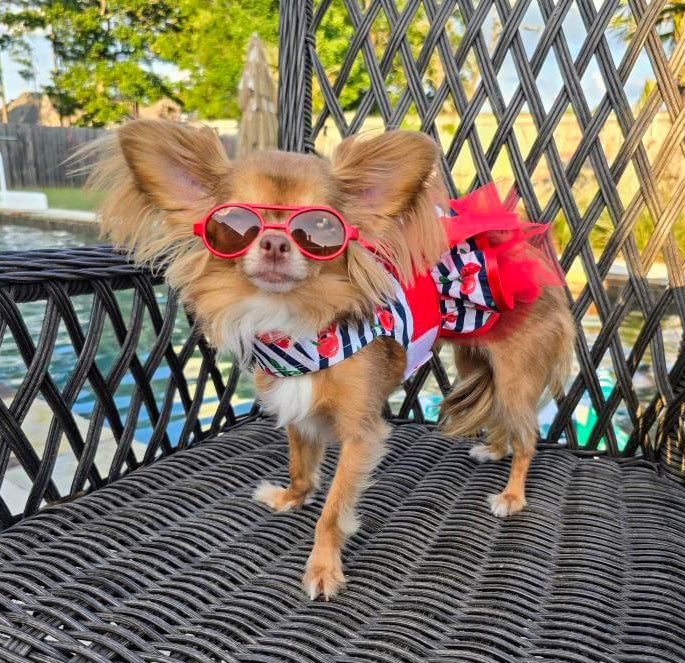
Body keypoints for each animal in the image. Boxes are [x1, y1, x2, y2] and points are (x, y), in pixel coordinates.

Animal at [89, 119, 572, 600]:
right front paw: (290, 498)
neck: (299, 326)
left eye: (320, 226)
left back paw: (511, 495)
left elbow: (333, 511)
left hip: (512, 375)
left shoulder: (360, 435)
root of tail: (524, 253)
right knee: (505, 419)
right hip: (476, 360)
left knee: (527, 436)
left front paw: (322, 568)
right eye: (233, 224)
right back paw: (493, 449)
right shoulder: (297, 409)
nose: (274, 242)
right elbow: (301, 468)